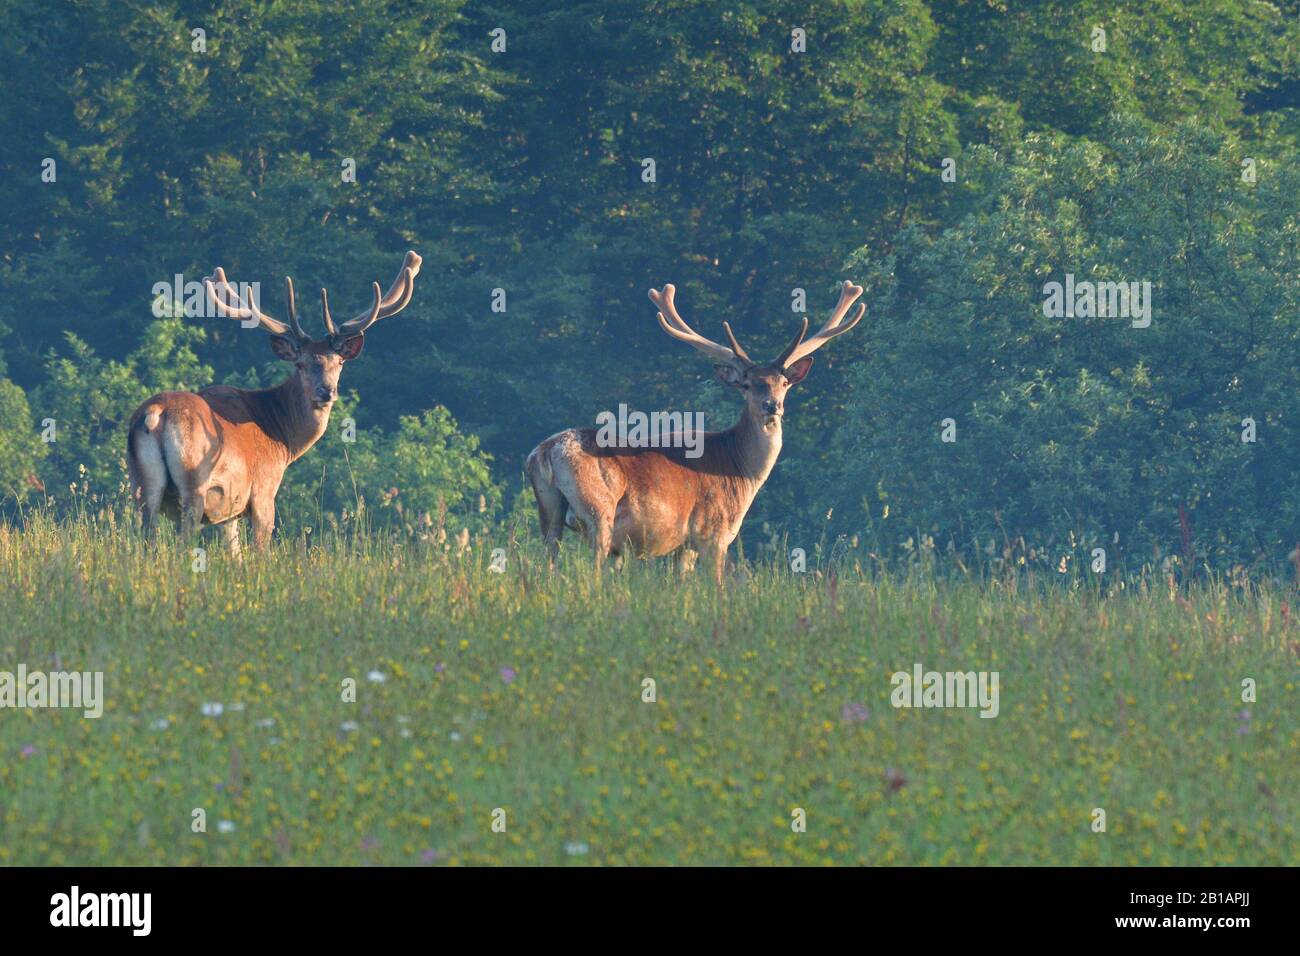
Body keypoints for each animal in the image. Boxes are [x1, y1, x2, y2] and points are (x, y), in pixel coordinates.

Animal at [126, 251, 421, 556]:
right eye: (300, 364)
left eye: (339, 362)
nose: (326, 391)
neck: (282, 438)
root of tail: (156, 413)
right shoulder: (263, 489)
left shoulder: (229, 511)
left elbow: (236, 554)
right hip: (193, 482)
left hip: (143, 485)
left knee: (147, 538)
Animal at [527, 278, 863, 582]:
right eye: (747, 384)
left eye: (784, 383)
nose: (772, 406)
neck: (739, 470)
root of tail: (545, 451)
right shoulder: (712, 531)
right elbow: (716, 587)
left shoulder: (683, 545)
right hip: (599, 511)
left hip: (549, 511)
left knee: (547, 563)